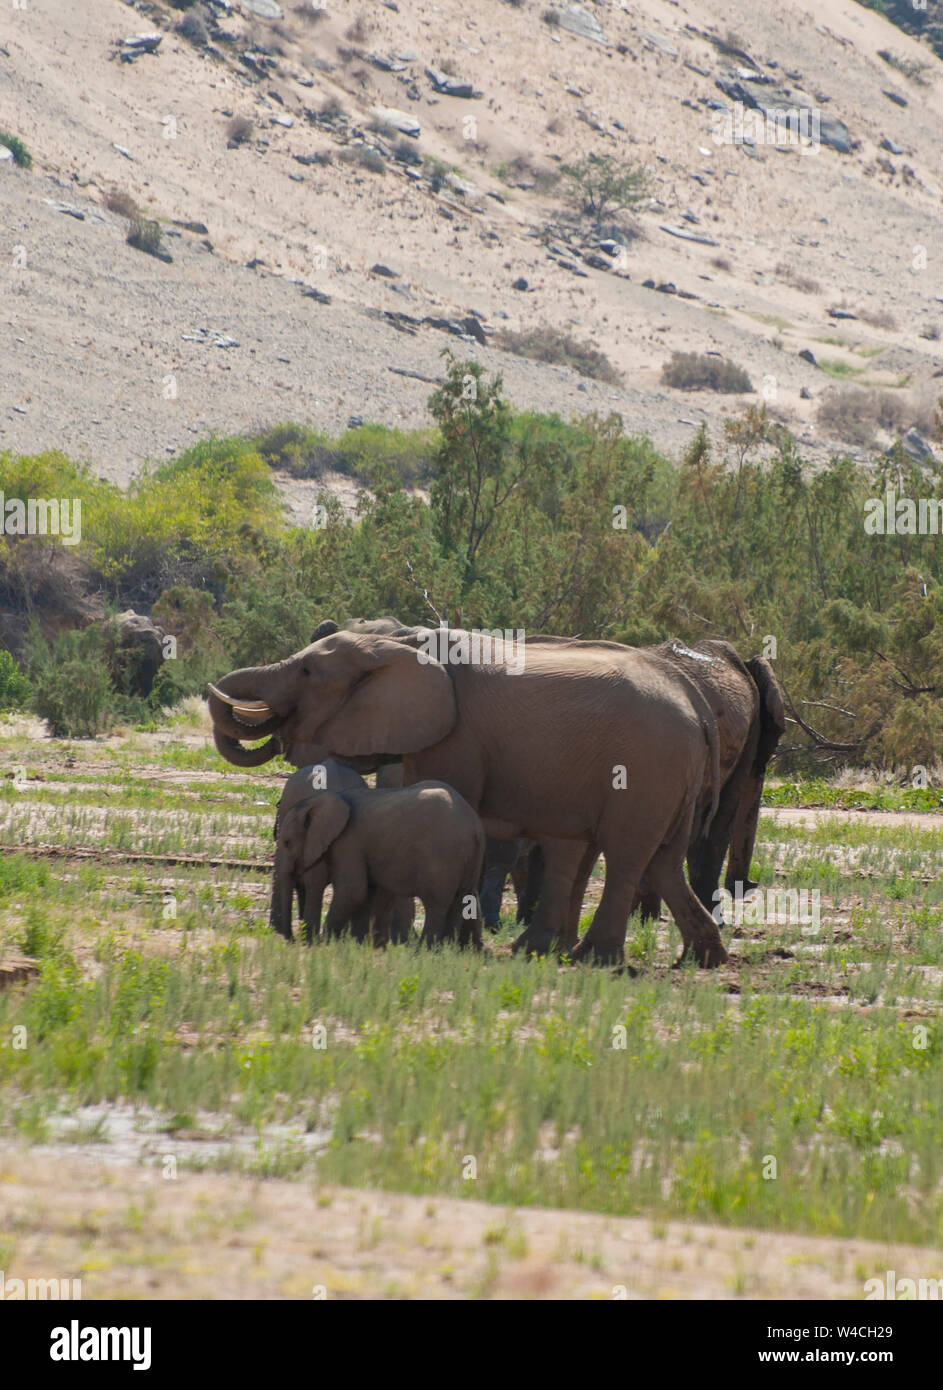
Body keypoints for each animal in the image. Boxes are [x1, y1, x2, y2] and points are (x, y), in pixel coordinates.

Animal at [271, 778, 481, 950]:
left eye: (287, 842)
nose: (290, 940)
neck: (320, 800)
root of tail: (473, 826)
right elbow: (365, 894)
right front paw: (356, 947)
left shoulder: (349, 842)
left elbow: (352, 891)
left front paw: (327, 944)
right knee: (459, 903)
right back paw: (444, 952)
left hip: (442, 858)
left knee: (436, 906)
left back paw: (423, 952)